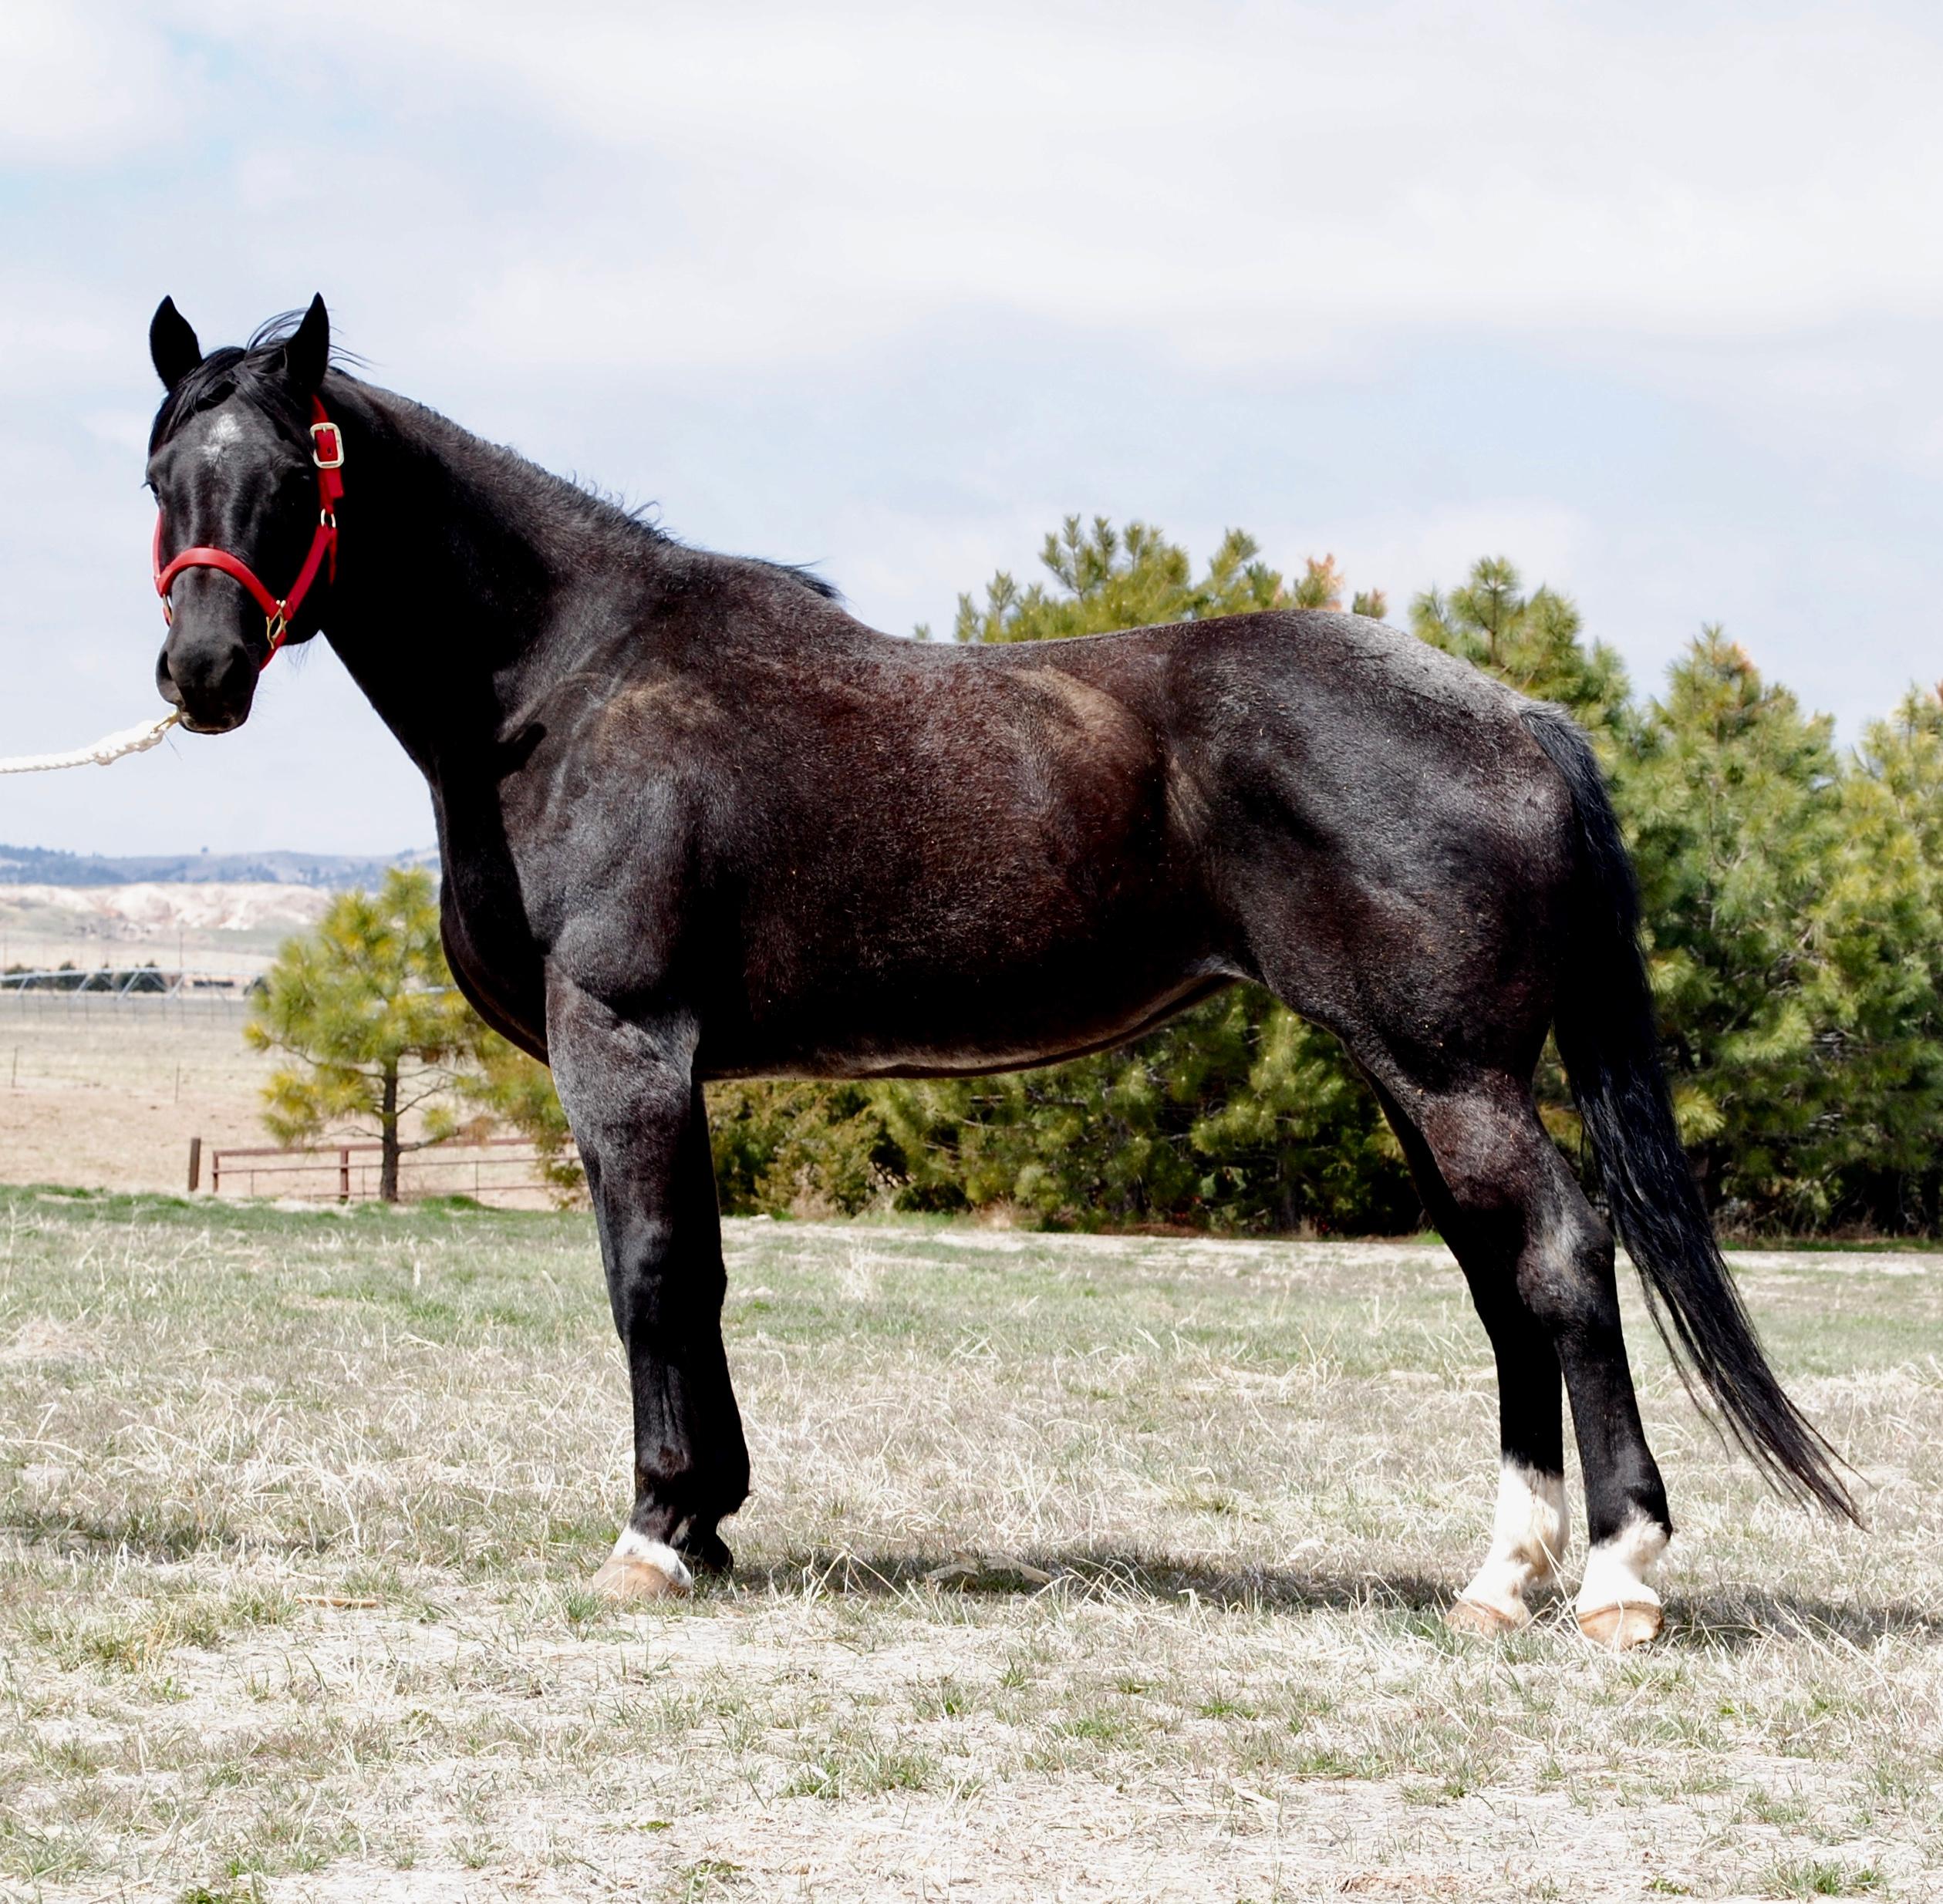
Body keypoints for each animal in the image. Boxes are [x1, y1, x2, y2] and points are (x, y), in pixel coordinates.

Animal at [140, 297, 1850, 1647]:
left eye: (291, 473)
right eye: (163, 472)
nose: (200, 672)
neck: (571, 684)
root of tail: (1523, 721)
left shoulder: (618, 1038)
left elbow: (646, 1272)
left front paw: (653, 1531)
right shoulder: (678, 1063)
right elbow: (701, 1269)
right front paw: (712, 1519)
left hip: (1450, 1072)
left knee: (1556, 1254)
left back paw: (1614, 1575)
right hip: (1419, 1075)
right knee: (1502, 1278)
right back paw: (1500, 1574)